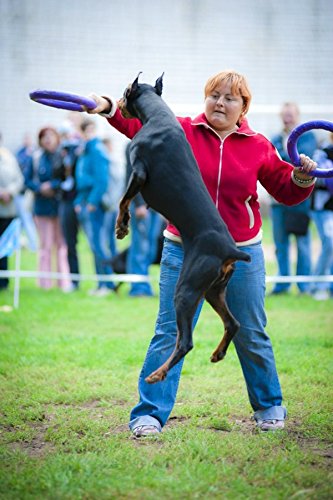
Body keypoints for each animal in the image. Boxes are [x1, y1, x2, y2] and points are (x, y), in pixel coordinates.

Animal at [115, 73, 248, 382]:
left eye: (125, 91)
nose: (117, 104)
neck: (158, 116)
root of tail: (230, 250)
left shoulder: (138, 171)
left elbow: (123, 201)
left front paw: (121, 227)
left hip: (186, 289)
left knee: (185, 342)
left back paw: (157, 373)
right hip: (213, 290)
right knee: (233, 324)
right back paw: (218, 353)